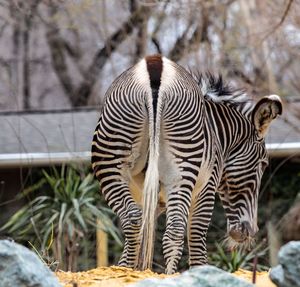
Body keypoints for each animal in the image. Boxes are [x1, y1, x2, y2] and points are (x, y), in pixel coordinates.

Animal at [91, 55, 282, 276]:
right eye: (263, 163)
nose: (250, 231)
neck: (217, 133)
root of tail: (155, 68)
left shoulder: (151, 199)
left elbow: (144, 240)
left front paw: (133, 271)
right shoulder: (207, 185)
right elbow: (197, 238)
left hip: (112, 161)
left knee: (133, 218)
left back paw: (128, 274)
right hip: (180, 170)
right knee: (174, 231)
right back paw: (171, 276)